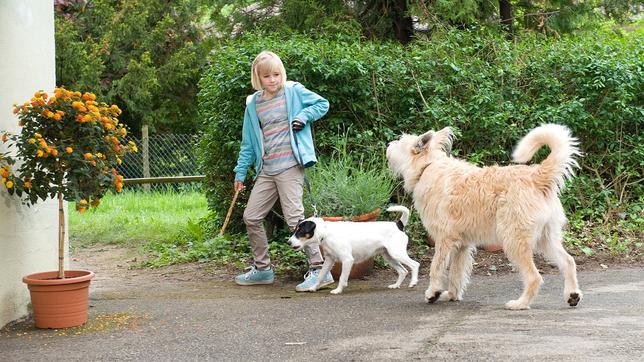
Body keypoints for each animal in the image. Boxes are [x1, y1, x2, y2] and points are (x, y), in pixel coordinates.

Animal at [288, 206, 420, 294]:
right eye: (295, 230)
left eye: (300, 231)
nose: (288, 242)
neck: (326, 231)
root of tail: (399, 225)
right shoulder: (329, 260)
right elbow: (321, 275)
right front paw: (314, 287)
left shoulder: (347, 260)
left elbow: (342, 278)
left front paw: (338, 290)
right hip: (389, 256)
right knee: (403, 271)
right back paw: (396, 285)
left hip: (397, 254)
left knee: (415, 265)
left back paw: (413, 282)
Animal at [388, 123, 584, 308]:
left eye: (400, 141)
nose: (389, 144)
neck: (427, 166)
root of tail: (537, 176)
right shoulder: (462, 245)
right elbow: (455, 273)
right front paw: (451, 295)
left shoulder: (444, 239)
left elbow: (436, 267)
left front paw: (432, 293)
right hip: (547, 238)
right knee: (568, 262)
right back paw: (572, 295)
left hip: (514, 240)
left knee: (534, 277)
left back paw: (520, 304)